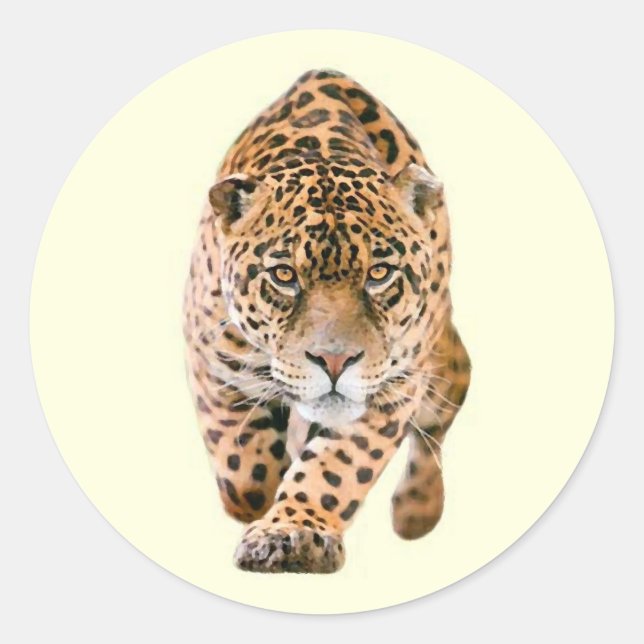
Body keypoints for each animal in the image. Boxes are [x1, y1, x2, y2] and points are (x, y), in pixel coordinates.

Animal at [183, 69, 471, 573]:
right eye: (284, 275)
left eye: (379, 274)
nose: (335, 362)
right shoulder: (213, 363)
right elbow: (244, 475)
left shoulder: (392, 388)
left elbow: (337, 467)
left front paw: (293, 533)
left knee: (442, 413)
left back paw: (417, 509)